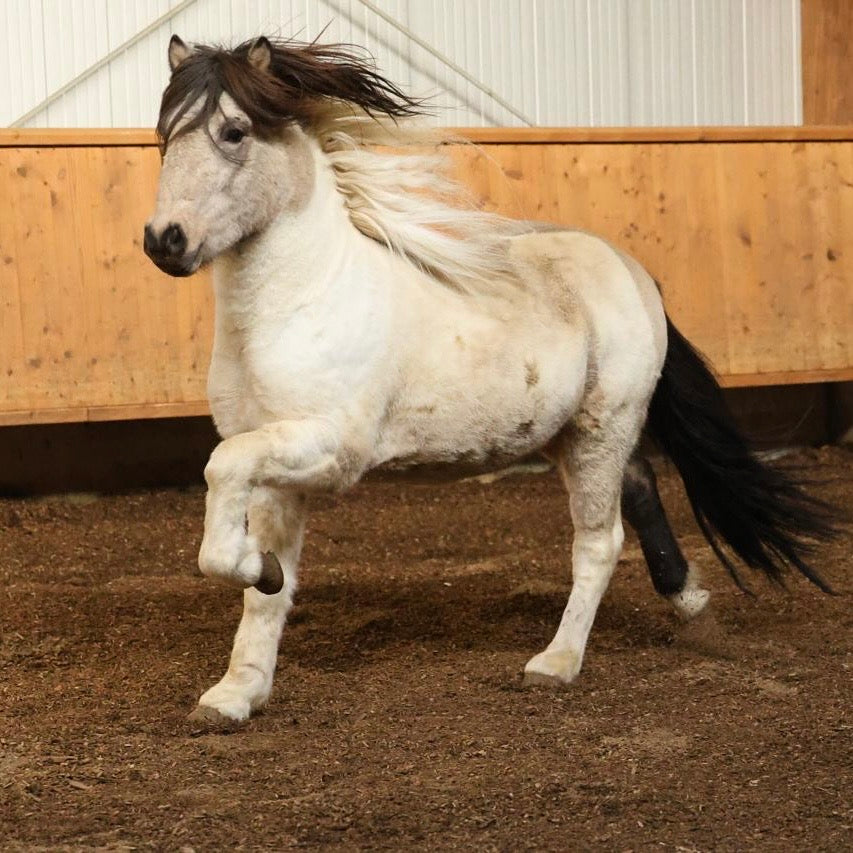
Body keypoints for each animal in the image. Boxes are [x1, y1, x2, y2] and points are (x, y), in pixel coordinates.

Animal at [144, 35, 834, 726]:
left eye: (233, 131)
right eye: (164, 136)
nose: (163, 241)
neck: (299, 302)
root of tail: (634, 273)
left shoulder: (333, 448)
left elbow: (221, 482)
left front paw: (253, 574)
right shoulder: (276, 456)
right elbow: (265, 584)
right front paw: (235, 691)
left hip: (602, 428)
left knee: (600, 540)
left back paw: (556, 664)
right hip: (573, 433)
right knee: (641, 493)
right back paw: (692, 607)